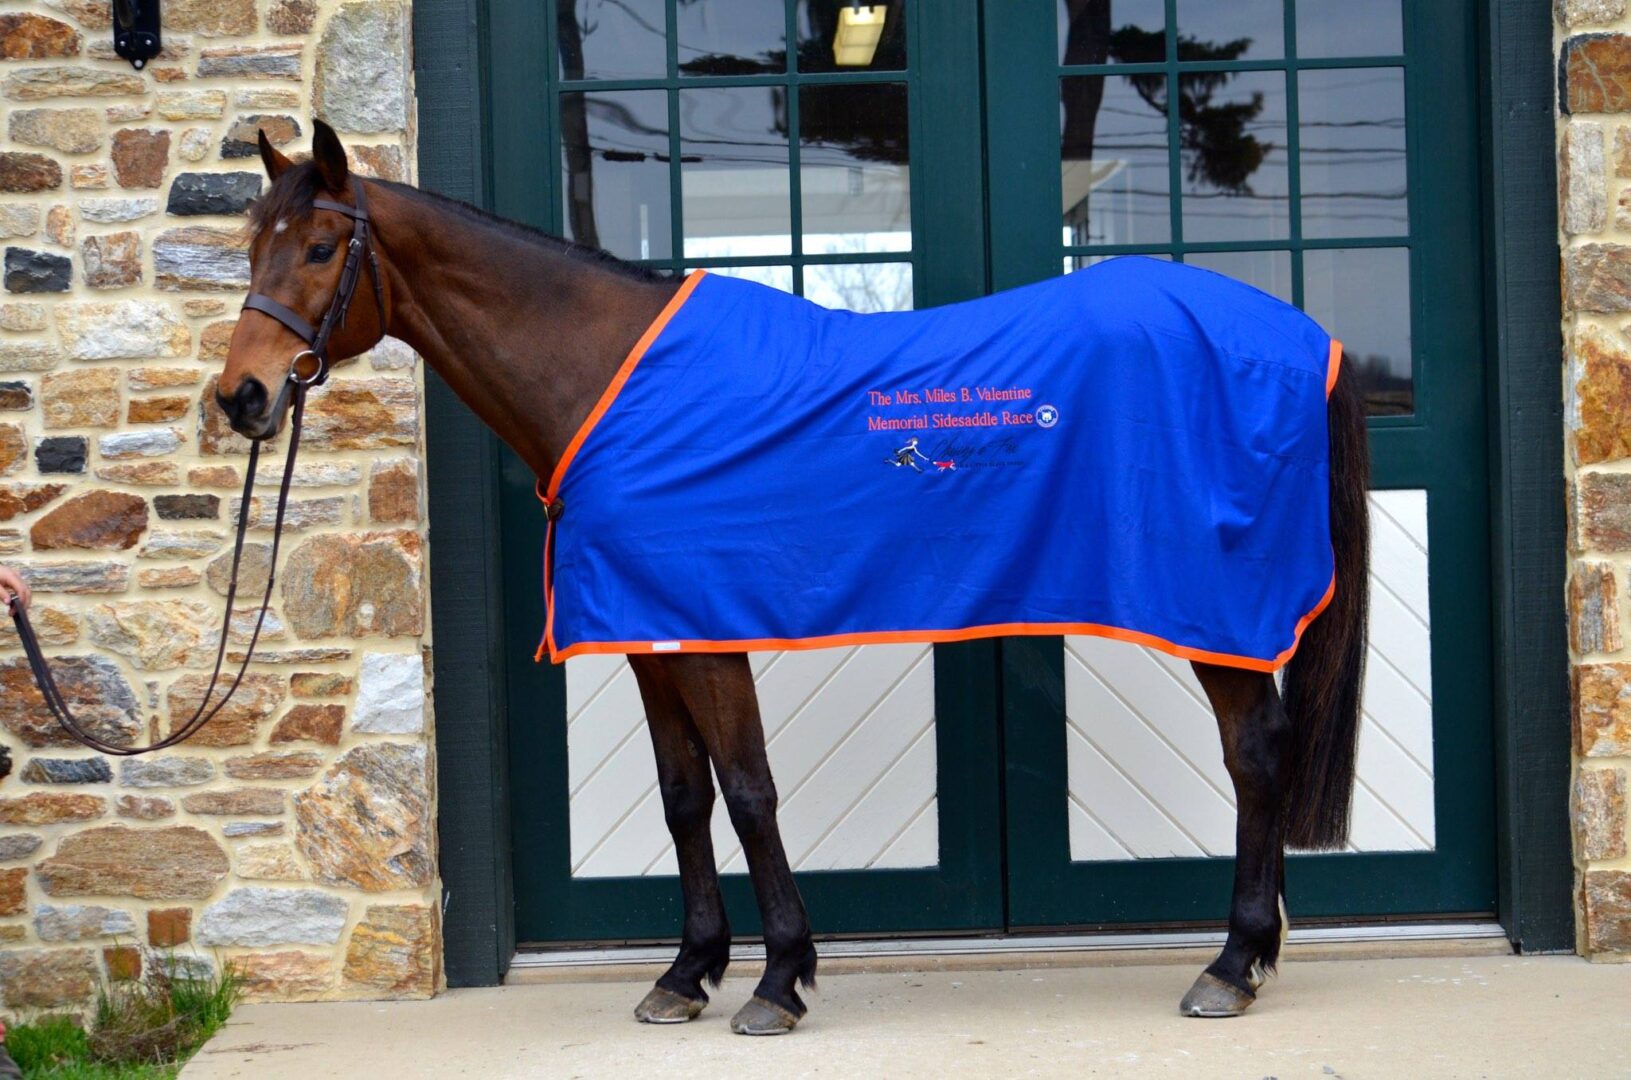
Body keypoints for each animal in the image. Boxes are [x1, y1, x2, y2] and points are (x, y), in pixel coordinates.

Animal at [220, 122, 1363, 1037]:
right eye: (250, 245)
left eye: (320, 247)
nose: (241, 398)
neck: (606, 380)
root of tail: (1306, 335)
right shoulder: (652, 634)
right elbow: (684, 798)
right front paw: (685, 974)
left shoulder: (708, 632)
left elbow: (749, 792)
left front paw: (777, 980)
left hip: (1212, 610)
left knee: (1255, 750)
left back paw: (1232, 964)